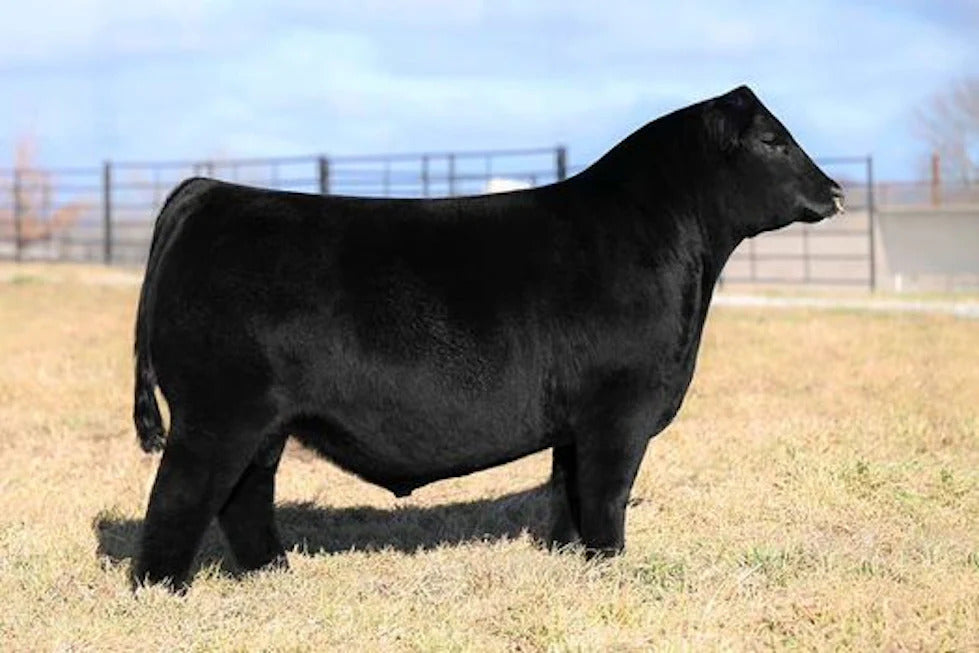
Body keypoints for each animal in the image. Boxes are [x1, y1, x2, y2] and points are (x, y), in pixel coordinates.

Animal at [132, 85, 843, 590]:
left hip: (264, 421)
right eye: (773, 141)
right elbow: (606, 493)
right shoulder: (619, 410)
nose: (835, 190)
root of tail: (210, 191)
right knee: (180, 497)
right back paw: (165, 590)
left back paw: (275, 574)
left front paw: (569, 558)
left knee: (245, 495)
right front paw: (612, 567)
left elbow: (568, 490)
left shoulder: (576, 420)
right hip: (218, 413)